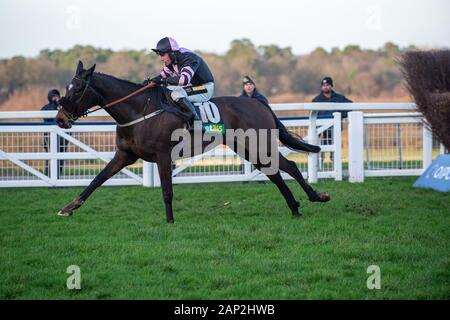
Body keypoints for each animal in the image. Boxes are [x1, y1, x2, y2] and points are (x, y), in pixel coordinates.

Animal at [57, 61, 330, 224]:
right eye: (67, 87)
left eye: (77, 89)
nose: (60, 118)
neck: (139, 110)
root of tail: (260, 103)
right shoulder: (125, 155)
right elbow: (96, 180)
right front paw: (68, 207)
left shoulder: (163, 155)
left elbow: (167, 191)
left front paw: (169, 222)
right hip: (248, 148)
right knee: (276, 173)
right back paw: (295, 206)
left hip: (259, 146)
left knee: (289, 167)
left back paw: (315, 197)